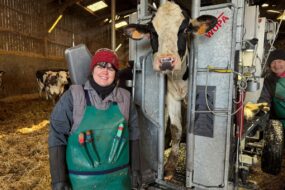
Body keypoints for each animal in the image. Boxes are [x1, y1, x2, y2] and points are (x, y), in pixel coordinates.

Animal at [123, 0, 216, 180]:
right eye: (152, 32)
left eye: (185, 29)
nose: (166, 61)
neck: (180, 80)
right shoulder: (171, 97)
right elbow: (176, 129)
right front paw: (170, 167)